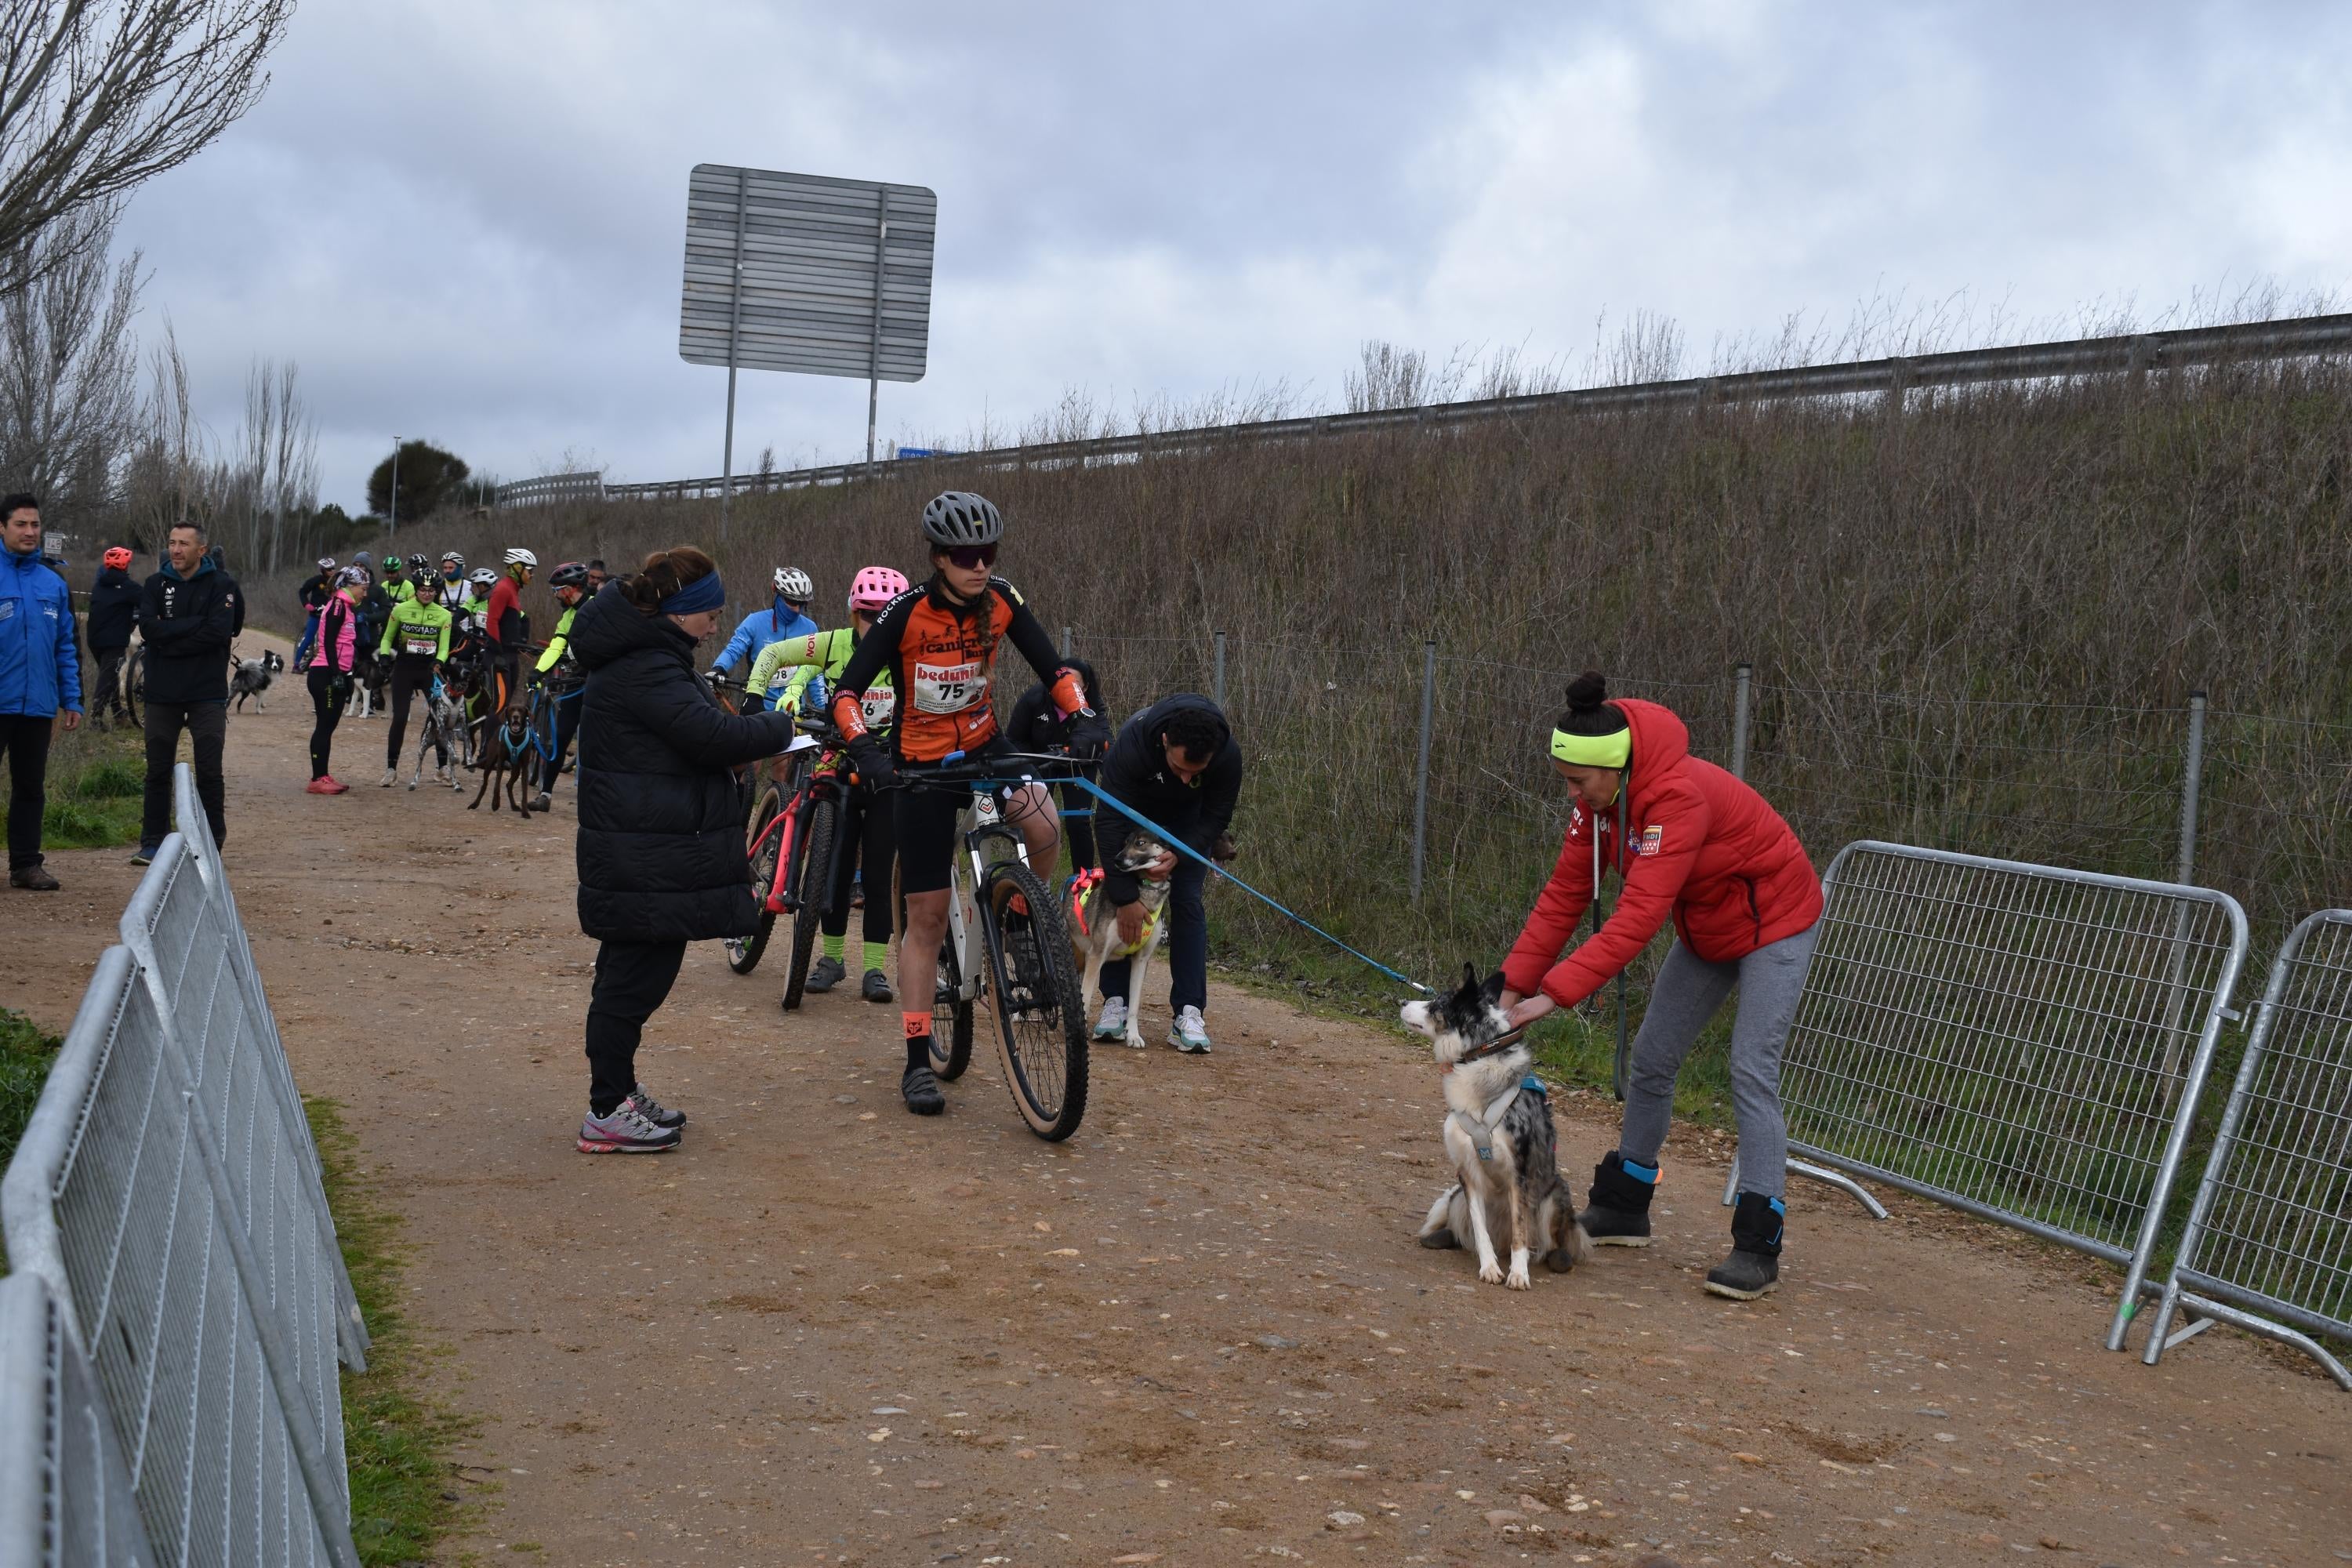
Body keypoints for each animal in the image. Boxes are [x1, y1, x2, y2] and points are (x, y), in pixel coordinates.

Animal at [1068, 841, 1176, 1048]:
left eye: (1140, 843)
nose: (1117, 860)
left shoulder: (1141, 960)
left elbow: (1133, 1006)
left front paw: (1133, 1036)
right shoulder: (1097, 955)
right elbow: (1087, 997)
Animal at [1392, 968, 1599, 1288]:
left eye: (1436, 1005)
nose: (1402, 1001)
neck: (1479, 1057)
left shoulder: (1519, 1175)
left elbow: (1520, 1233)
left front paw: (1518, 1273)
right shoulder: (1468, 1174)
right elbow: (1480, 1231)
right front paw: (1489, 1267)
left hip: (1553, 1196)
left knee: (1553, 1242)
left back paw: (1557, 1258)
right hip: (1456, 1197)